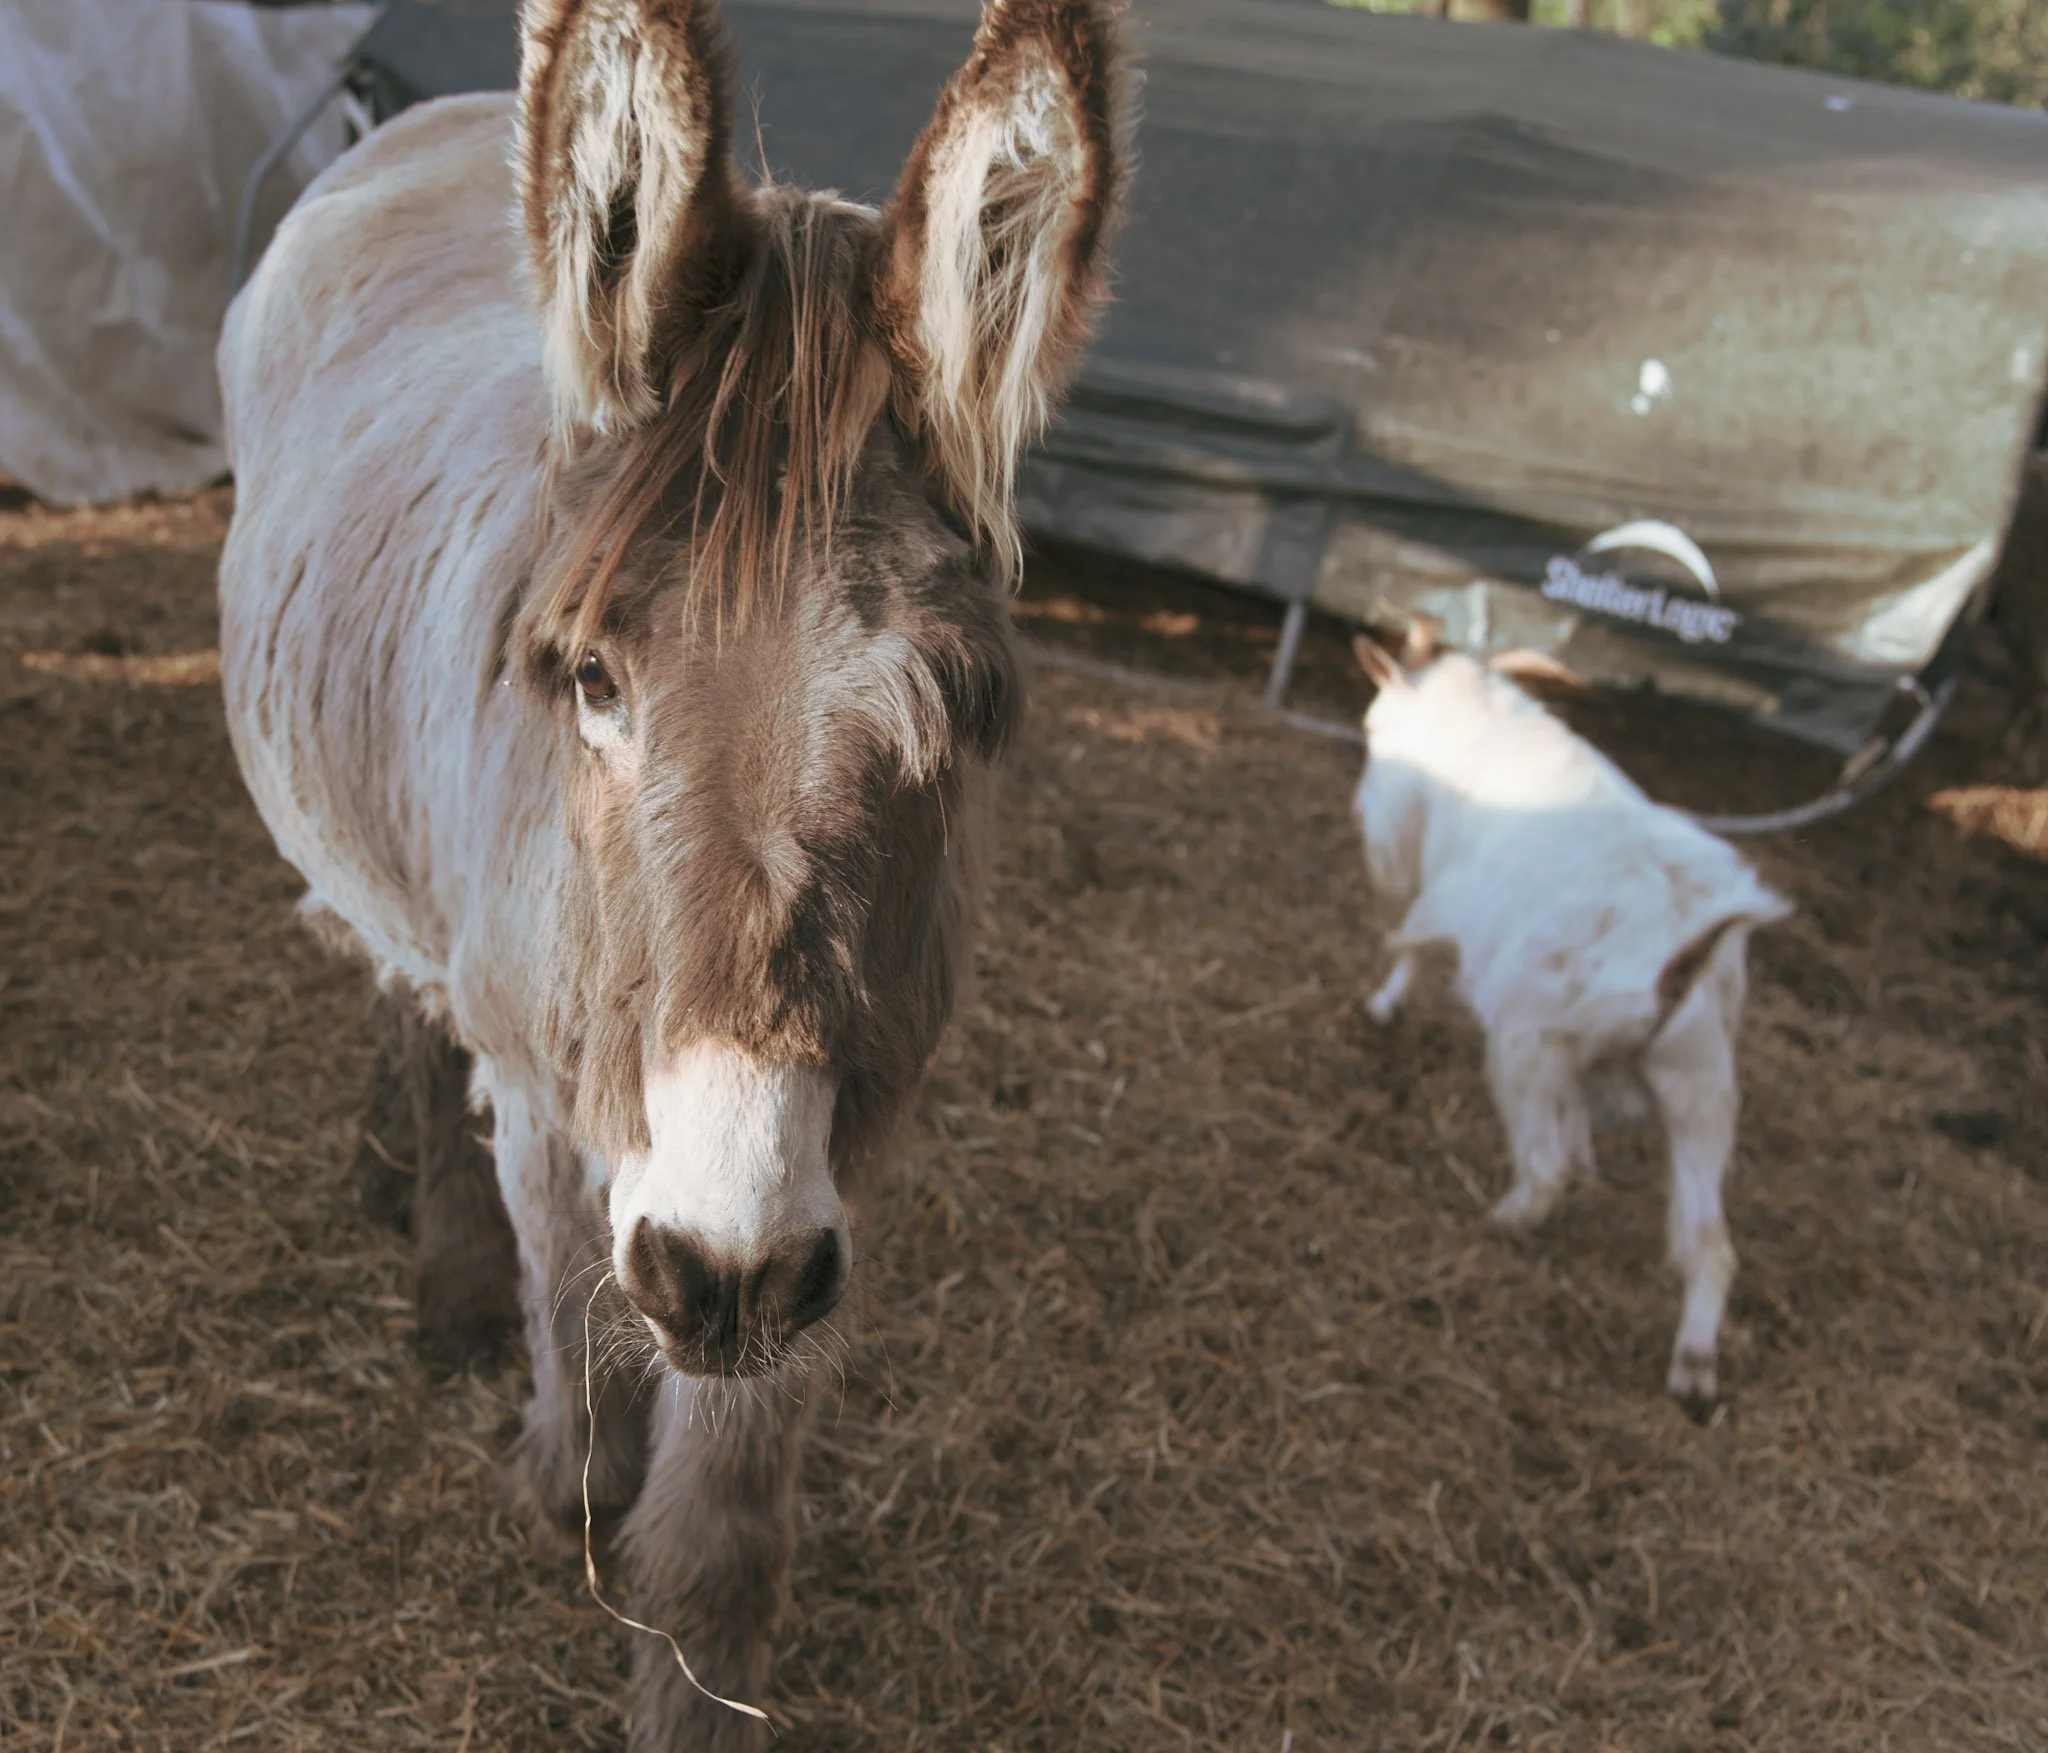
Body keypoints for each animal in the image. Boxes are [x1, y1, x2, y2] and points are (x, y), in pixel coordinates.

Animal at [216, 0, 1126, 1742]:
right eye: (593, 682)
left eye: (956, 713)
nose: (719, 1269)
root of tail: (429, 119)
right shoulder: (555, 1097)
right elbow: (576, 1347)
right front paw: (556, 1468)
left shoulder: (842, 1164)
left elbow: (719, 1541)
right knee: (399, 990)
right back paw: (440, 1266)